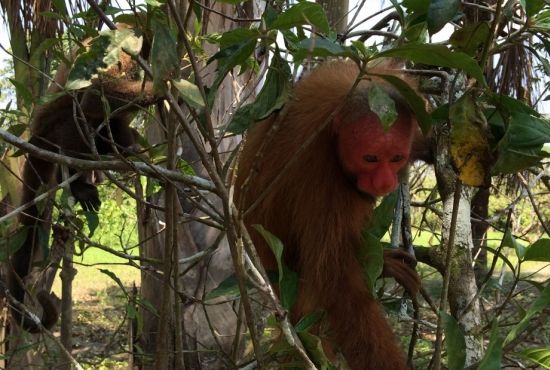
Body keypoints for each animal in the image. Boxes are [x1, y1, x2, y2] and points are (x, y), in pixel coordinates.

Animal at [10, 30, 157, 332]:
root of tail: (35, 135)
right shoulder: (119, 49)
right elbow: (93, 96)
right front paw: (161, 90)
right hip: (54, 130)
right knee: (78, 116)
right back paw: (78, 178)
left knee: (110, 122)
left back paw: (124, 152)